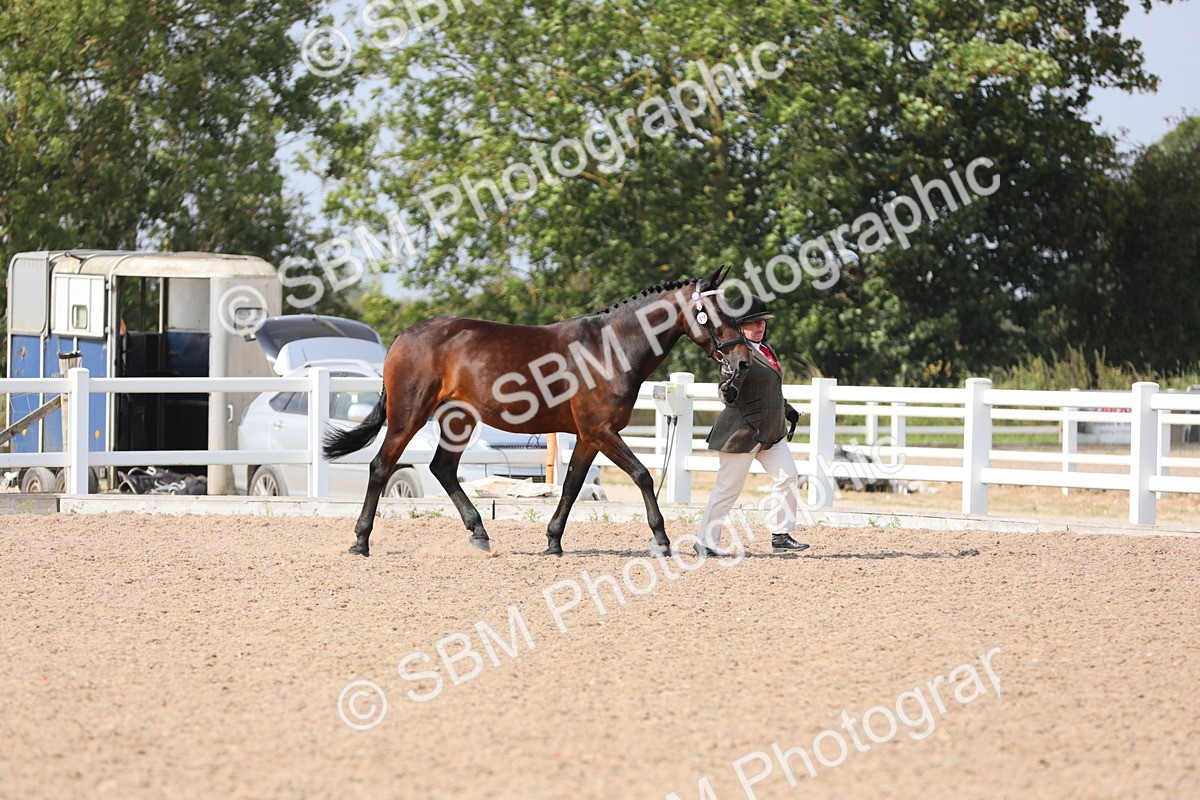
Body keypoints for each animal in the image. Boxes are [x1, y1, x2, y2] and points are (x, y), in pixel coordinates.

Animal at [323, 265, 753, 557]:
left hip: (459, 420)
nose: (743, 362)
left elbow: (572, 485)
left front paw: (553, 541)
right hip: (409, 416)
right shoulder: (601, 431)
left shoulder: (588, 436)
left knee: (442, 468)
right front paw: (661, 540)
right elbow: (643, 476)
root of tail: (404, 335)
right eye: (715, 314)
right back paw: (361, 541)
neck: (609, 349)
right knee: (381, 466)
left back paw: (479, 533)